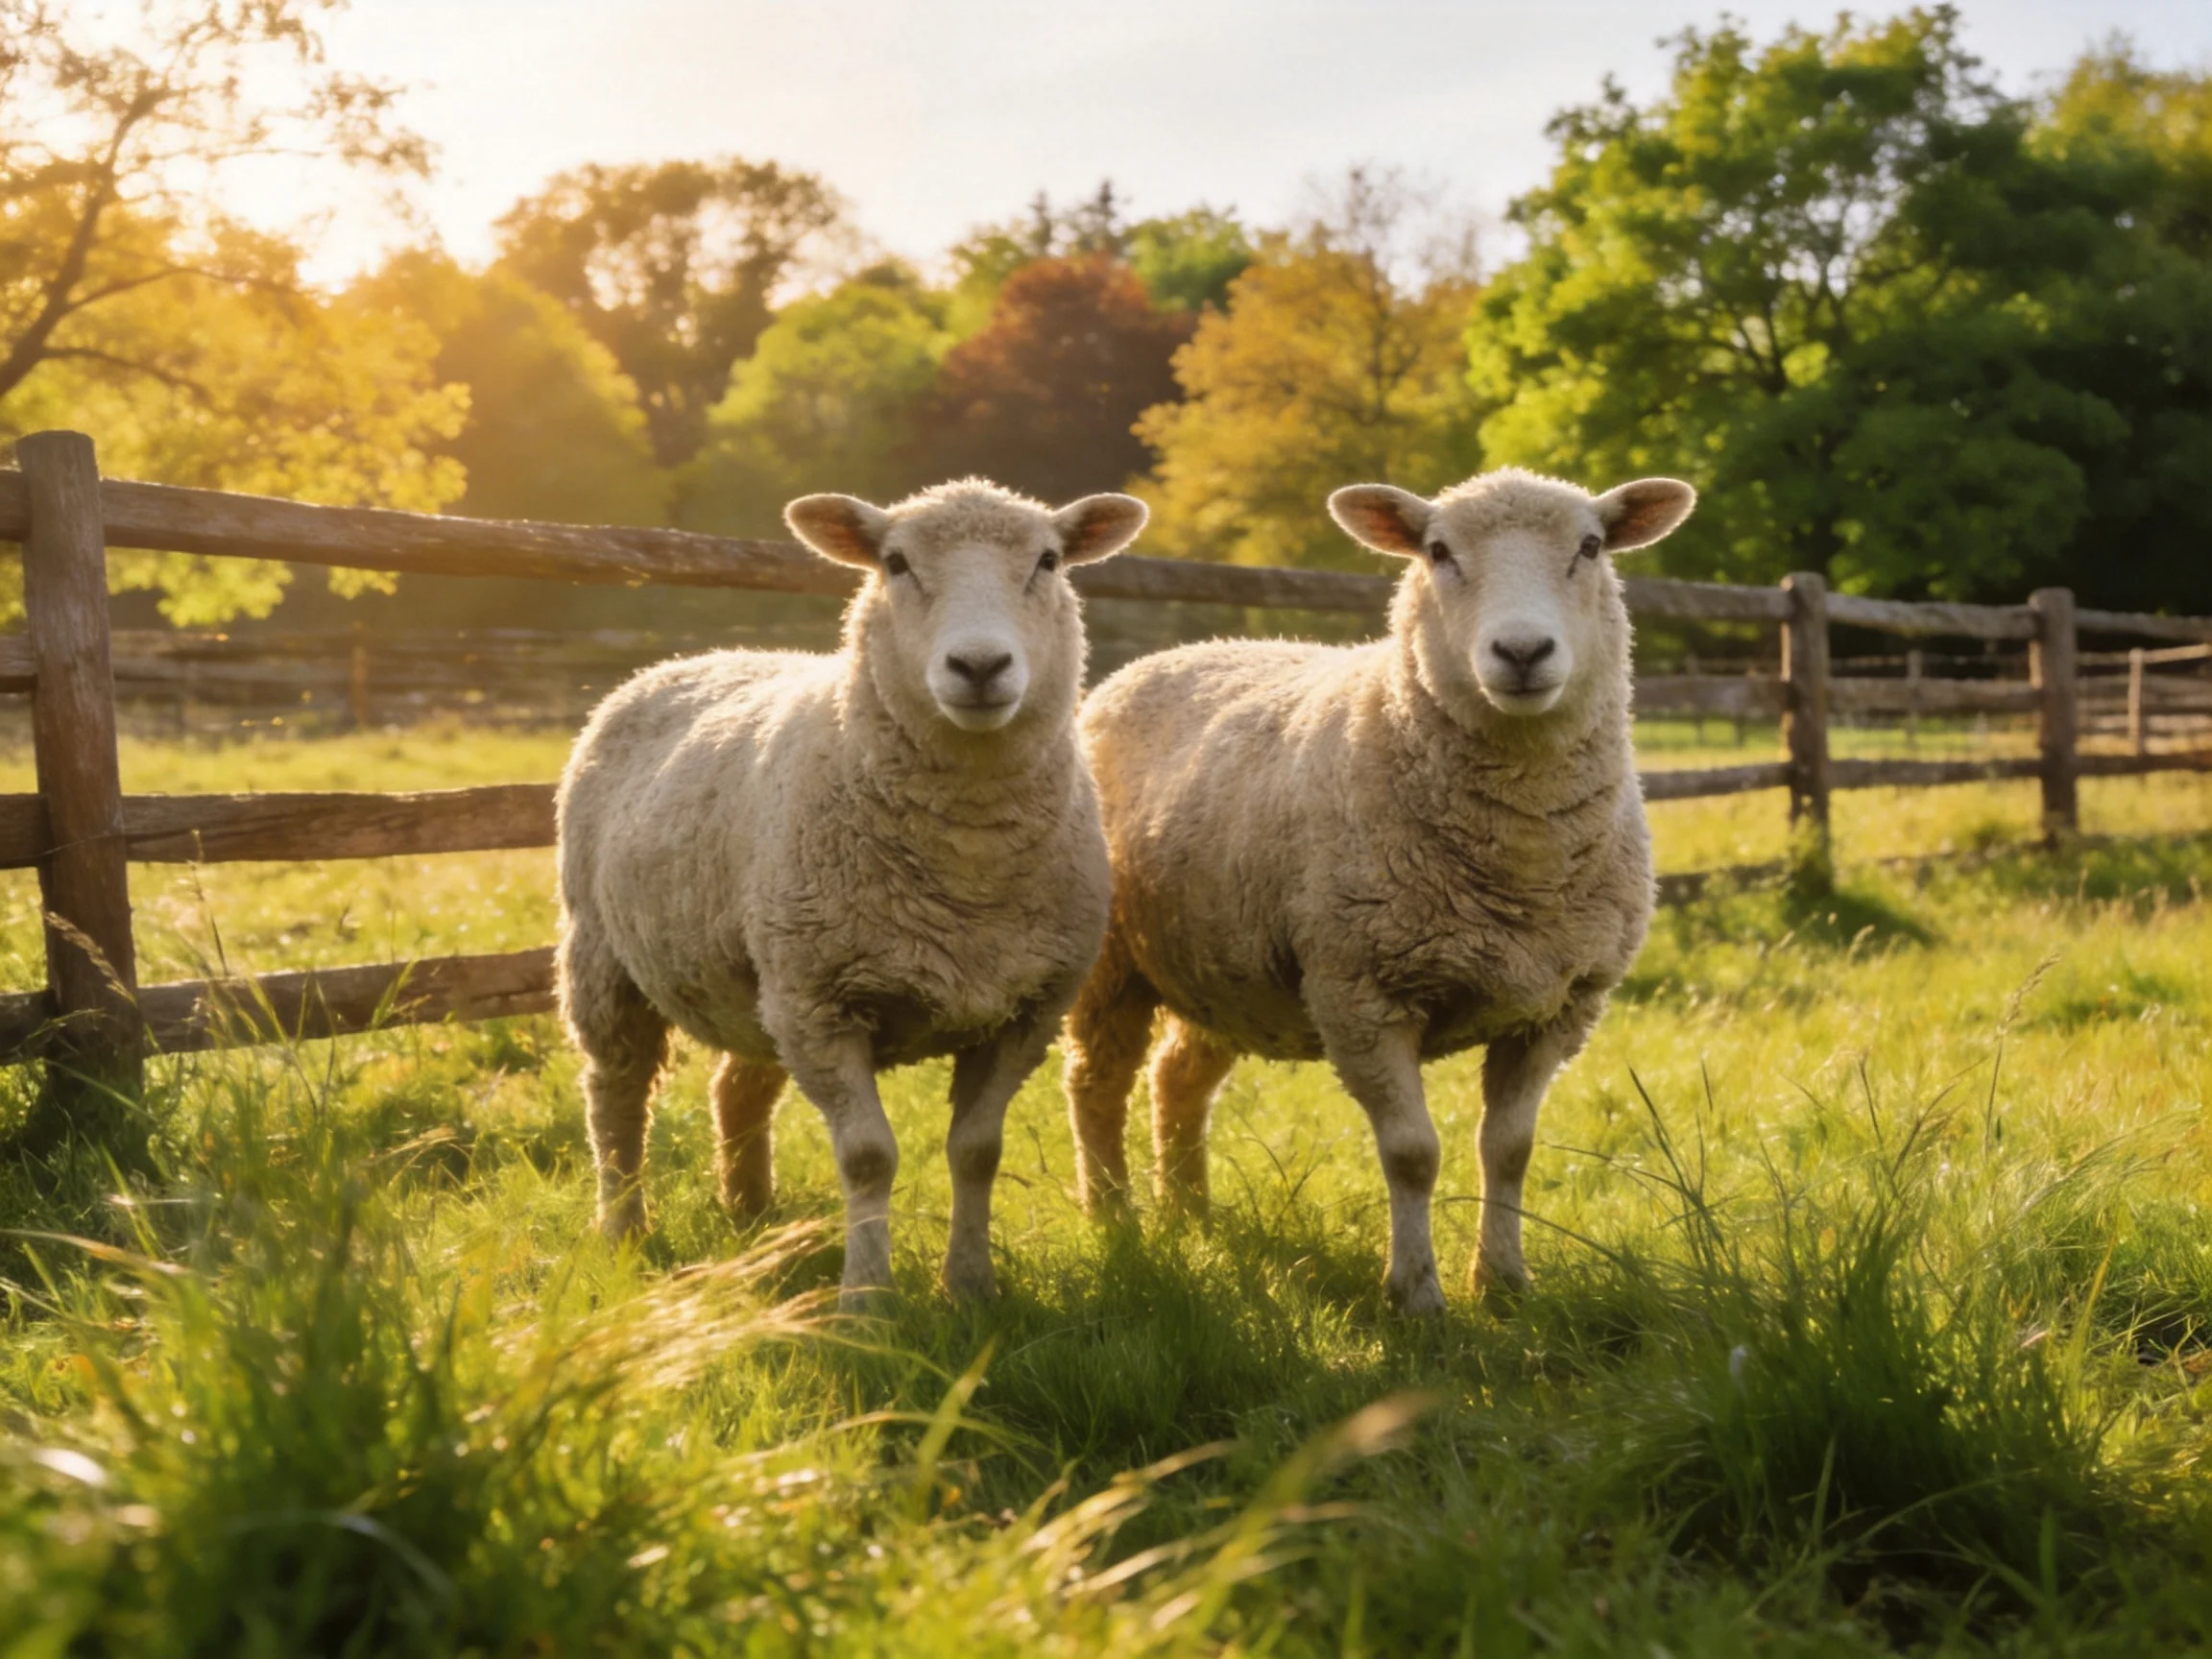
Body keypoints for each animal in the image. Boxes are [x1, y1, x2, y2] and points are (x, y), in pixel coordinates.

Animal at [558, 479, 1147, 1305]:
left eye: (1049, 561)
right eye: (895, 563)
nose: (979, 665)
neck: (968, 867)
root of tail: (691, 657)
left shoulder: (1026, 1009)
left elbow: (978, 1151)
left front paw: (971, 1288)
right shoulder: (825, 1003)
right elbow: (869, 1157)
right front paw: (867, 1300)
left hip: (764, 975)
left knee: (738, 1086)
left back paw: (750, 1212)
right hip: (605, 955)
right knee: (615, 1093)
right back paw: (624, 1229)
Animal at [1062, 467, 1695, 1313]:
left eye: (1590, 546)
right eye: (1438, 551)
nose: (1522, 650)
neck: (1521, 860)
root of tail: (1164, 656)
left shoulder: (1560, 1007)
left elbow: (1511, 1148)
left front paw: (1503, 1283)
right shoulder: (1358, 992)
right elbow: (1412, 1154)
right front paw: (1417, 1296)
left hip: (1223, 966)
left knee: (1177, 1078)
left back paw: (1189, 1215)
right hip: (1112, 963)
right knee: (1098, 1083)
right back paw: (1115, 1222)